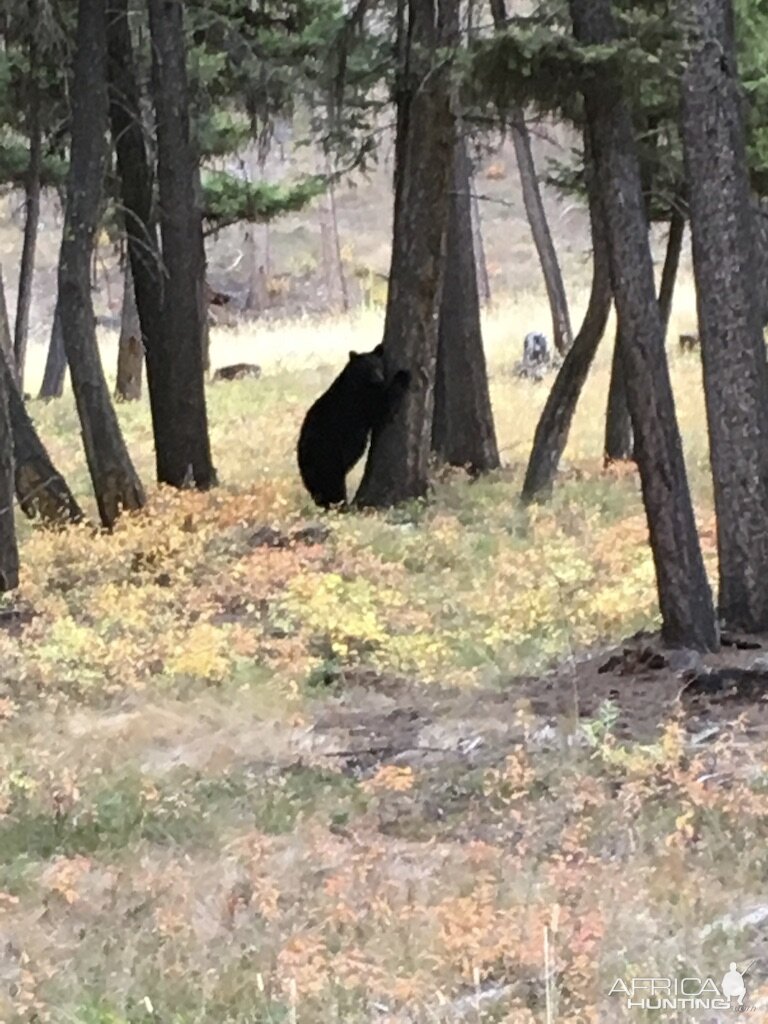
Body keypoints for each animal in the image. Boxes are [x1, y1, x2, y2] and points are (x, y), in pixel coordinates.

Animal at [296, 344, 411, 507]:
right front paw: (403, 375)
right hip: (328, 455)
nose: (379, 378)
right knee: (332, 485)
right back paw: (342, 505)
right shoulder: (359, 400)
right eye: (367, 367)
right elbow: (382, 408)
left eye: (379, 365)